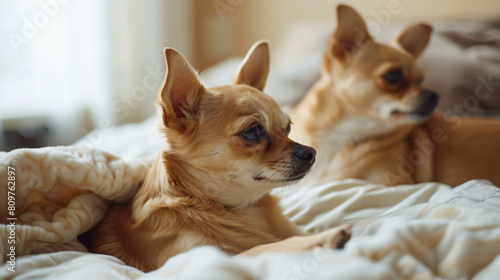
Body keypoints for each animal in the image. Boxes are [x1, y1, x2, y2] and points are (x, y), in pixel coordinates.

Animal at [85, 41, 352, 272]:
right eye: (252, 131)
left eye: (287, 128)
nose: (311, 152)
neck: (241, 208)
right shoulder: (205, 257)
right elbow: (268, 247)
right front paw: (326, 238)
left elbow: (289, 237)